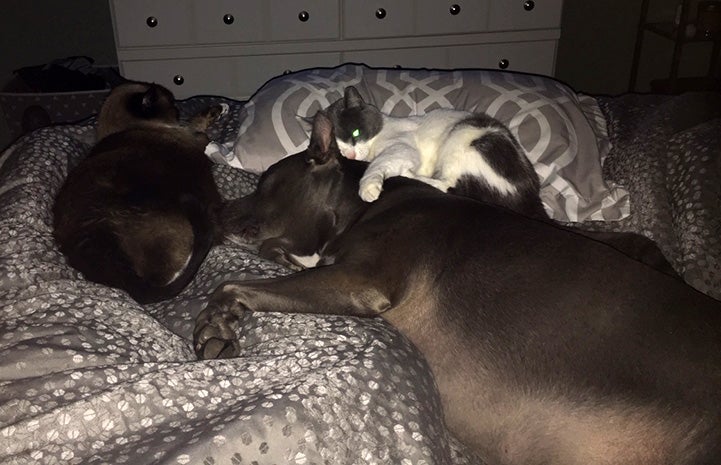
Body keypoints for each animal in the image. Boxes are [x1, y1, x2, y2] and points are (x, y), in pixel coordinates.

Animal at [53, 81, 224, 302]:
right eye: (171, 104)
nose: (178, 110)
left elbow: (196, 122)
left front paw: (217, 109)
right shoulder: (194, 141)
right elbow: (199, 132)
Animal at [195, 112, 720, 464]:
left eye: (264, 181)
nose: (214, 210)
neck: (358, 204)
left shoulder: (358, 281)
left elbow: (233, 282)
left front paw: (215, 323)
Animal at [326, 85, 544, 219]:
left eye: (355, 132)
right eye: (337, 148)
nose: (351, 155)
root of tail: (531, 199)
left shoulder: (402, 148)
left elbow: (379, 162)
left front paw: (368, 187)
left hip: (462, 139)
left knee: (448, 185)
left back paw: (408, 174)